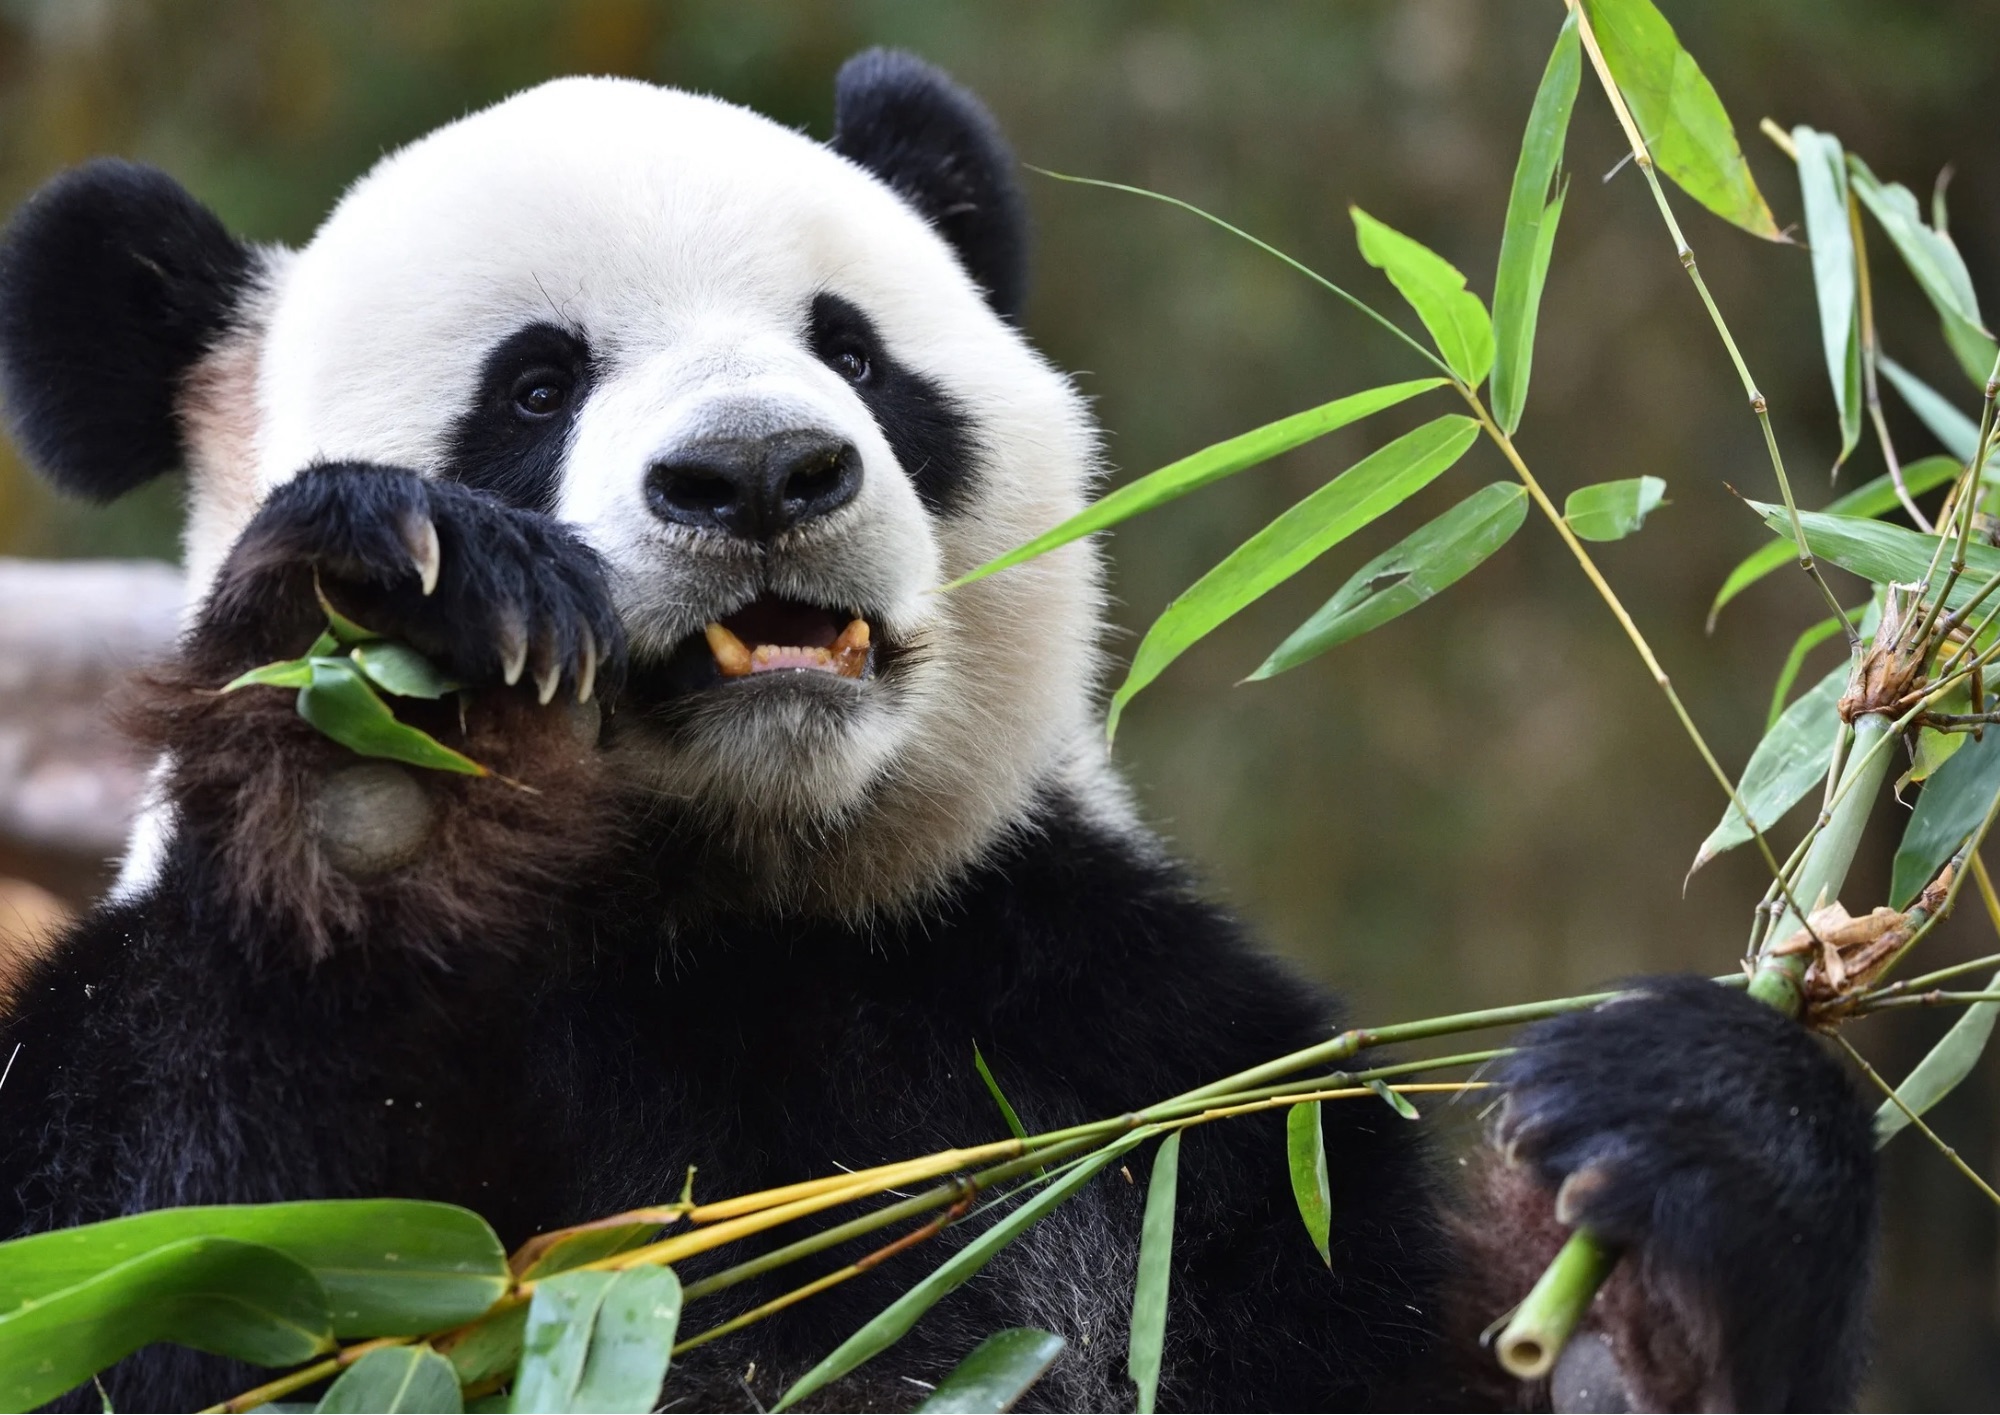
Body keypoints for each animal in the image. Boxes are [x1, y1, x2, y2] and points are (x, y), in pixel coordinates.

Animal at [0, 51, 1875, 1413]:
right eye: (535, 384)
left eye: (855, 352)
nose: (762, 471)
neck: (715, 903)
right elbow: (163, 1266)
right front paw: (384, 745)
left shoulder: (1117, 1048)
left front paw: (1683, 1207)